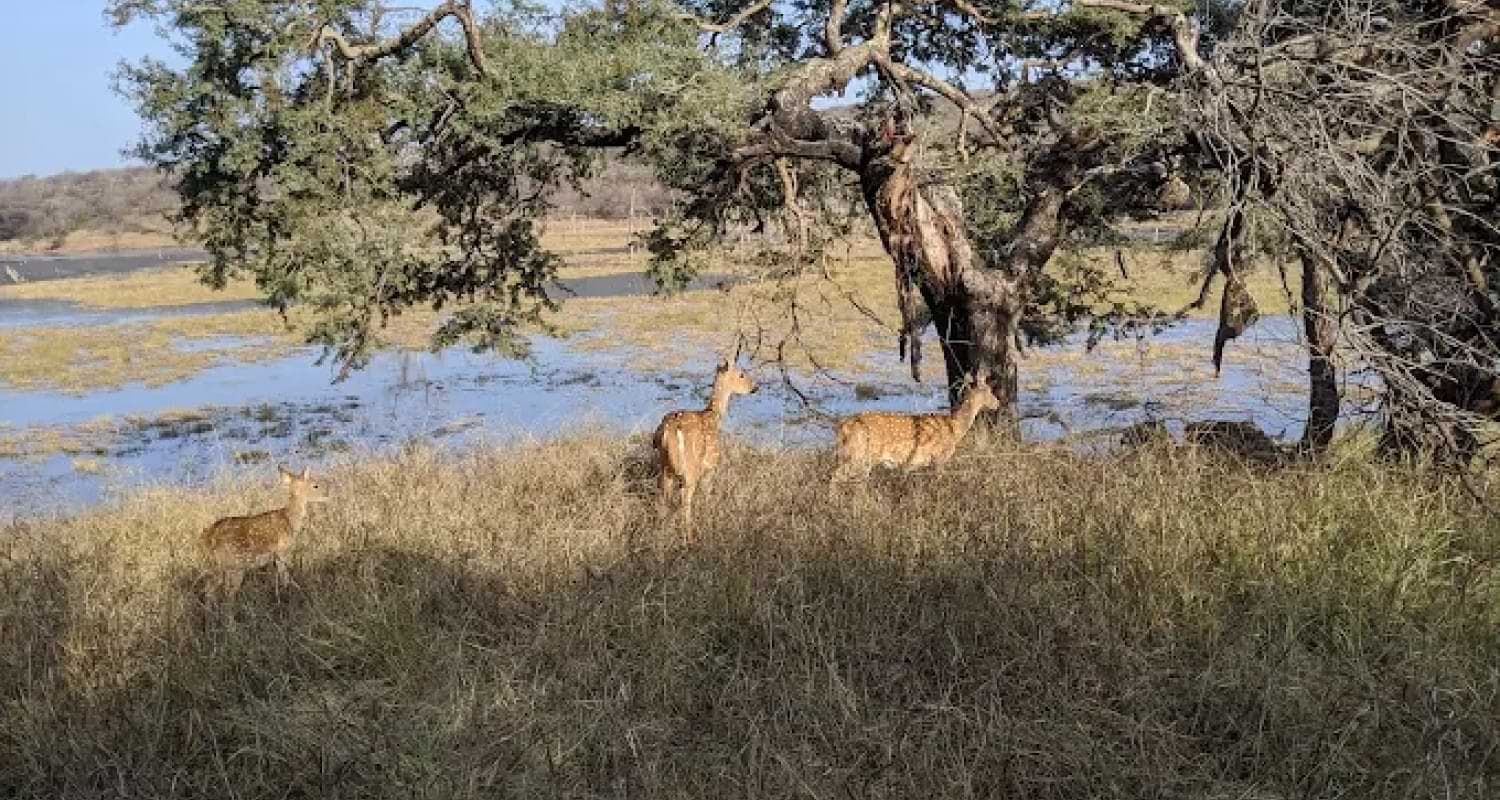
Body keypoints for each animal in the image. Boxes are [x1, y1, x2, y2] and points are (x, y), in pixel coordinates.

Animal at [200, 465, 328, 603]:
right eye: (315, 485)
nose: (327, 494)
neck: (290, 522)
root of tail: (207, 538)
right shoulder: (283, 551)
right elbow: (286, 578)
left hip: (220, 565)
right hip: (232, 563)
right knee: (219, 591)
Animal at [654, 345, 758, 528]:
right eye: (741, 374)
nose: (755, 387)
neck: (714, 417)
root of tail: (668, 433)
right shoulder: (711, 466)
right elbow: (708, 495)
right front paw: (710, 517)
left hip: (665, 467)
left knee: (664, 498)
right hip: (690, 469)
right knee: (685, 503)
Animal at [831, 378, 1001, 483]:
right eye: (989, 391)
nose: (998, 403)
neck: (955, 429)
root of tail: (842, 427)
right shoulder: (939, 458)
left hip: (848, 454)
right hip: (860, 455)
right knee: (838, 476)